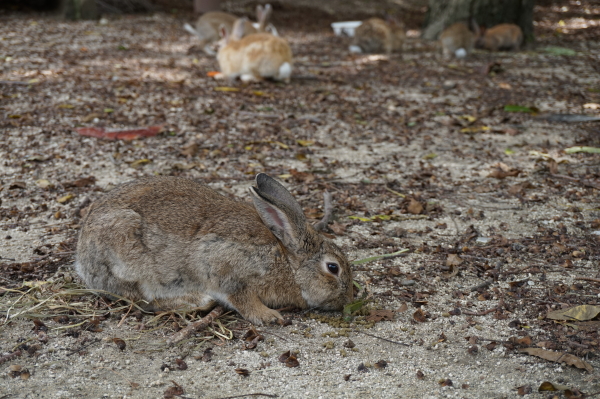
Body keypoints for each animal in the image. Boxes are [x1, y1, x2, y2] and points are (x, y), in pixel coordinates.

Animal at [77, 174, 354, 324]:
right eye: (333, 268)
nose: (347, 299)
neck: (285, 259)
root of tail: (82, 258)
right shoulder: (226, 268)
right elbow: (242, 299)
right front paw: (268, 316)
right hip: (129, 262)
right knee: (141, 299)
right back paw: (195, 300)